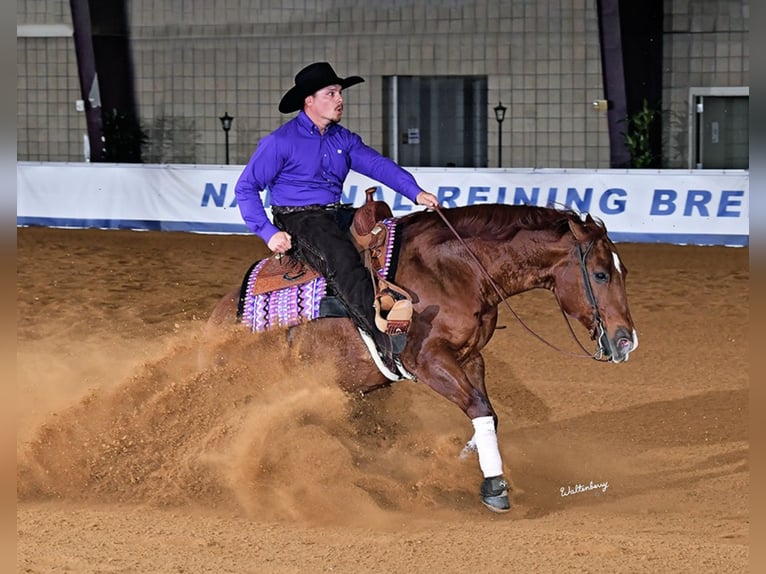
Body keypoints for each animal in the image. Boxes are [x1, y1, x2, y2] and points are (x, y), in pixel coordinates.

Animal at [206, 203, 638, 512]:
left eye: (622, 271)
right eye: (600, 274)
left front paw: (461, 460)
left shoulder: (470, 358)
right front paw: (494, 486)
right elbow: (480, 408)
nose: (627, 340)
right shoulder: (429, 361)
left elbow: (488, 412)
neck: (456, 270)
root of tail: (219, 322)